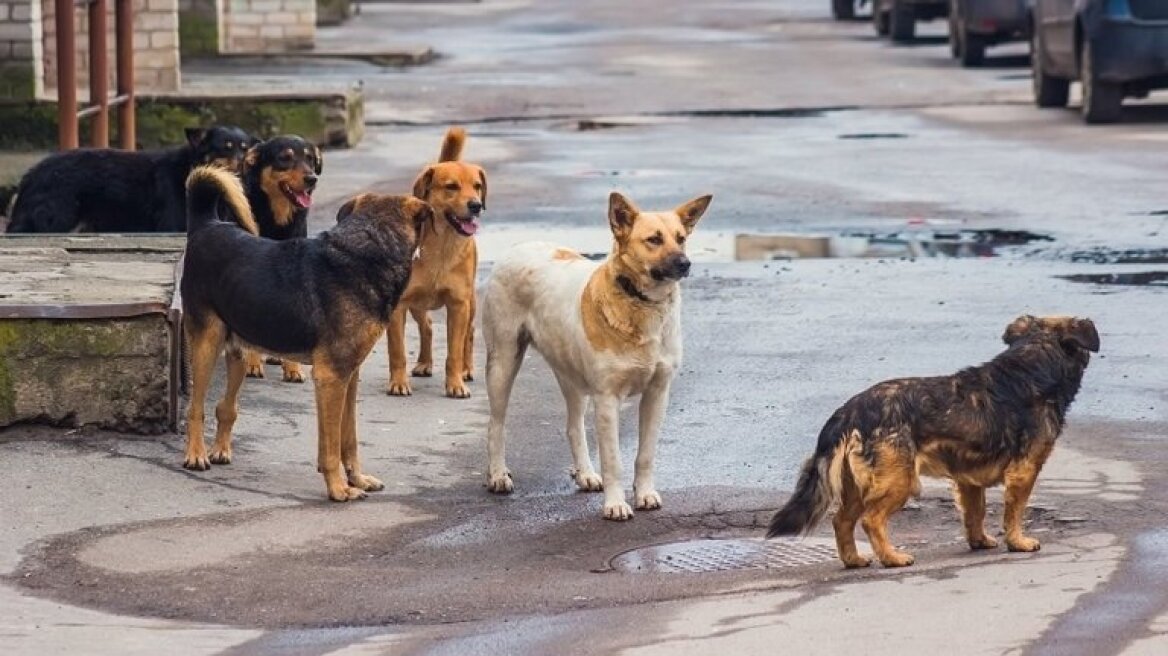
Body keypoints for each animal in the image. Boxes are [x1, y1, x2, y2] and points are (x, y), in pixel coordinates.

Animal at [6, 124, 253, 232]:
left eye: (245, 148)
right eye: (226, 147)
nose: (243, 163)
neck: (190, 168)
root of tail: (30, 175)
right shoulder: (173, 225)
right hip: (56, 220)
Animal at [184, 164, 432, 499]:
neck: (369, 247)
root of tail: (207, 225)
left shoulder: (349, 376)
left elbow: (348, 438)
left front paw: (357, 478)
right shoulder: (331, 377)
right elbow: (331, 446)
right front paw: (339, 488)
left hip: (238, 351)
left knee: (226, 406)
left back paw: (220, 449)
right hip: (206, 344)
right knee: (195, 407)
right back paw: (195, 455)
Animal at [235, 135, 324, 380]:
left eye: (310, 158)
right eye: (285, 158)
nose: (312, 179)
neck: (277, 221)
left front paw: (292, 368)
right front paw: (252, 363)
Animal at [481, 191, 710, 518]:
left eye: (681, 238)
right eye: (653, 239)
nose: (685, 263)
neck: (640, 303)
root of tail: (518, 246)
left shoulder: (657, 394)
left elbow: (645, 455)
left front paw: (645, 494)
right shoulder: (607, 399)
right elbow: (613, 460)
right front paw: (615, 504)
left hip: (571, 377)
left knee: (573, 426)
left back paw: (585, 474)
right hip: (503, 362)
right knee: (496, 424)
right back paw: (498, 475)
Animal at [770, 315, 1097, 564]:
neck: (1032, 364)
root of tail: (849, 411)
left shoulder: (968, 480)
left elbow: (975, 513)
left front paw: (979, 541)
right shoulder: (1024, 471)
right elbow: (1014, 512)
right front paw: (1018, 542)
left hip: (856, 486)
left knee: (841, 521)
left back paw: (854, 560)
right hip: (899, 481)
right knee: (871, 520)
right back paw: (892, 558)